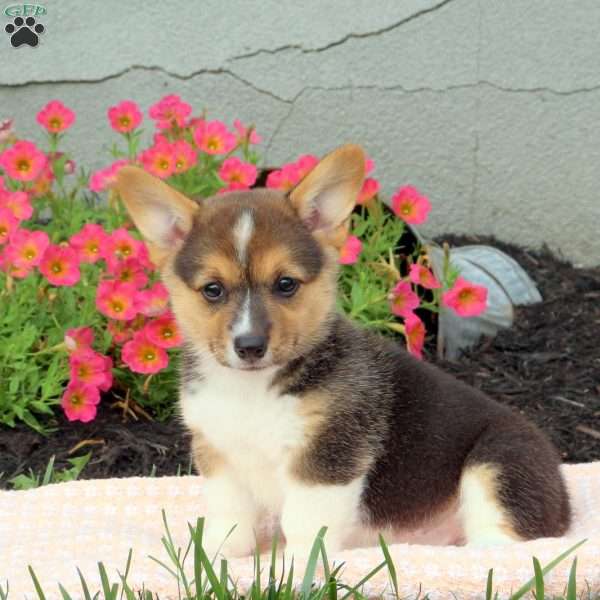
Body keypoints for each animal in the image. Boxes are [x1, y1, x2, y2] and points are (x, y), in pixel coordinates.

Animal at [113, 144, 572, 556]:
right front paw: (215, 557)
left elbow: (304, 525)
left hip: (498, 463)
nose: (249, 346)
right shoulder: (220, 455)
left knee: (503, 543)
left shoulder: (327, 458)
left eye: (286, 284)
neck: (253, 389)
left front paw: (294, 569)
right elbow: (230, 519)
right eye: (213, 290)